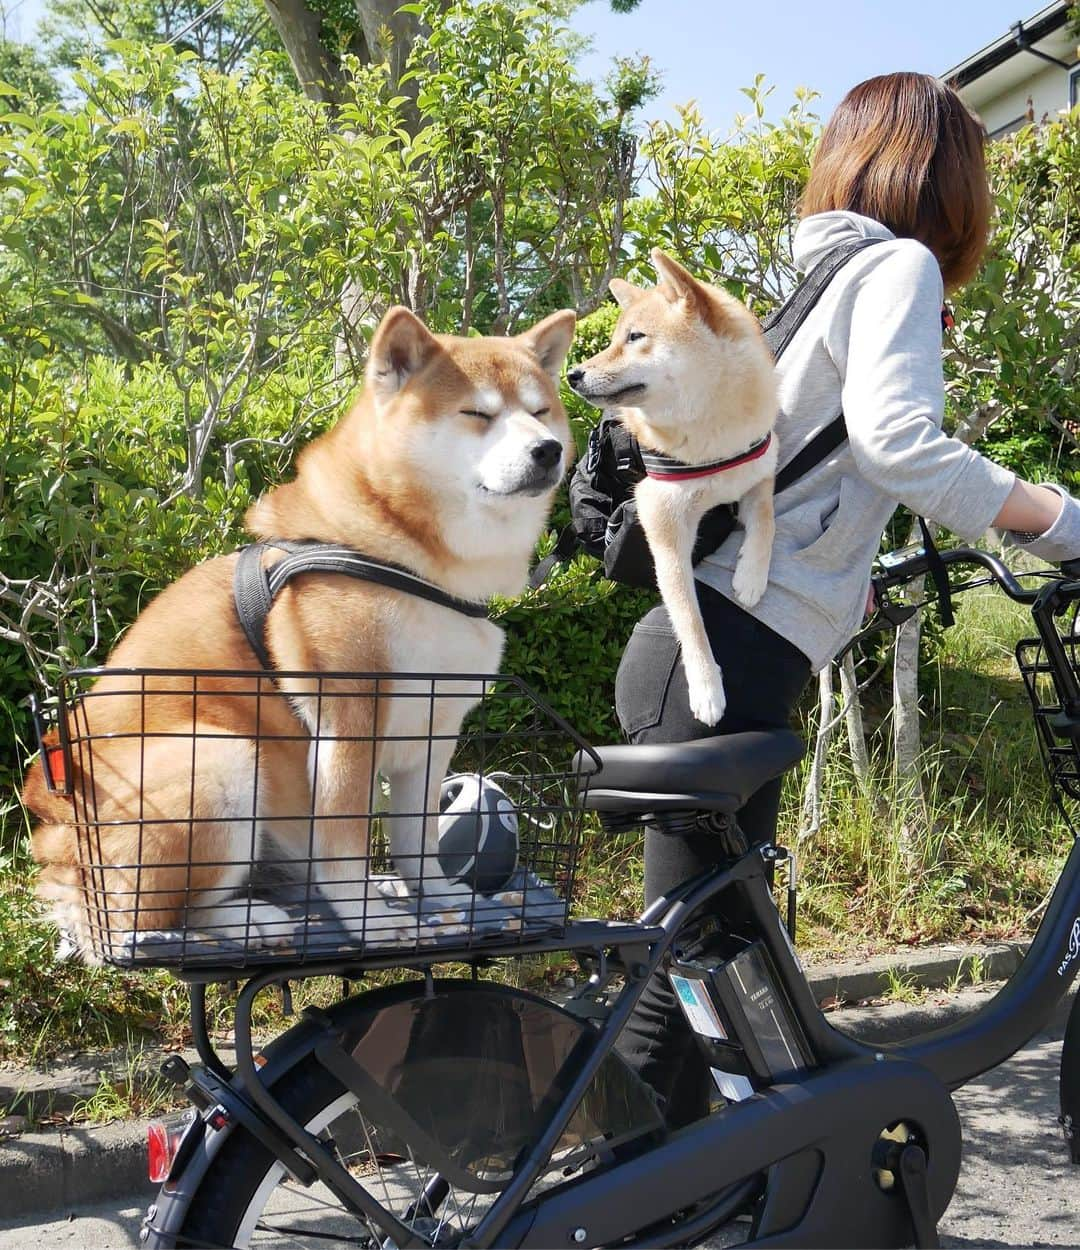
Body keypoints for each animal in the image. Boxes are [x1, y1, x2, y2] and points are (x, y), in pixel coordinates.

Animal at [23, 302, 575, 955]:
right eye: (478, 414)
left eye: (540, 411)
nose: (548, 450)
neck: (414, 567)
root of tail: (56, 827)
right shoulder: (348, 720)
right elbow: (343, 847)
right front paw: (371, 918)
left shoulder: (433, 730)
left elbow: (417, 845)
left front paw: (444, 899)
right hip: (223, 759)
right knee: (148, 922)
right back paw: (254, 919)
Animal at [565, 247, 775, 730]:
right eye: (615, 338)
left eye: (635, 337)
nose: (573, 373)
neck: (714, 437)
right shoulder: (663, 522)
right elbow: (689, 617)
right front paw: (706, 687)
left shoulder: (760, 473)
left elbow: (766, 521)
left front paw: (751, 577)